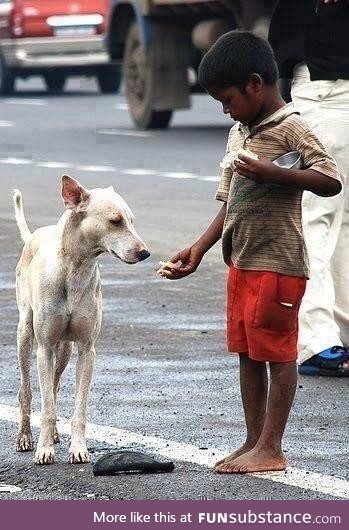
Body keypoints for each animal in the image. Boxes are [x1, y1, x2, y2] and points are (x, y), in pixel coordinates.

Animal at [13, 174, 149, 462]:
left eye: (132, 220)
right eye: (115, 221)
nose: (145, 253)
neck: (74, 271)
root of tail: (35, 235)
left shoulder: (87, 350)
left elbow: (79, 406)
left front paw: (77, 448)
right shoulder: (44, 348)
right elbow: (46, 406)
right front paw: (44, 450)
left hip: (64, 349)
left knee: (53, 387)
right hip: (25, 335)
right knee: (27, 391)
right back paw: (25, 436)